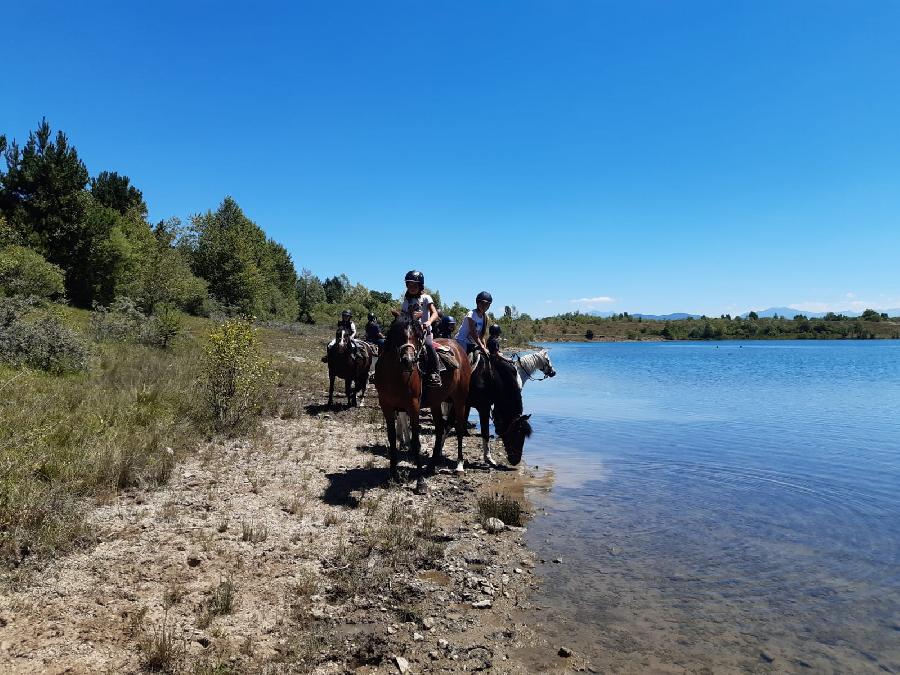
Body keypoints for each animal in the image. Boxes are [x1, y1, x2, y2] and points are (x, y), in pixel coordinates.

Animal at [370, 320, 472, 494]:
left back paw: (459, 465)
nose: (408, 360)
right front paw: (393, 474)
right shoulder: (387, 407)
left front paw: (420, 482)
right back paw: (431, 465)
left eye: (417, 335)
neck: (396, 376)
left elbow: (416, 442)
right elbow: (392, 439)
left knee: (458, 428)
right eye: (397, 333)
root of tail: (458, 348)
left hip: (460, 400)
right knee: (440, 428)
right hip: (436, 402)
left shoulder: (413, 407)